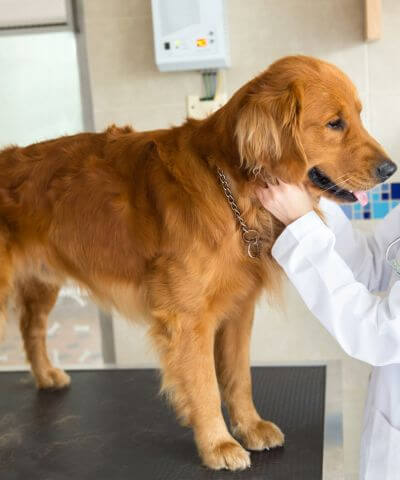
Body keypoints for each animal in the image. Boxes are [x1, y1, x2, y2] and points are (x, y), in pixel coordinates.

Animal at [0, 55, 396, 468]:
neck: (232, 189)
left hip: (42, 284)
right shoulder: (187, 318)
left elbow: (239, 377)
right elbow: (205, 385)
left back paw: (46, 375)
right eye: (335, 123)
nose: (391, 169)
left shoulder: (238, 310)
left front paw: (249, 426)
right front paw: (217, 444)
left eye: (359, 116)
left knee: (31, 328)